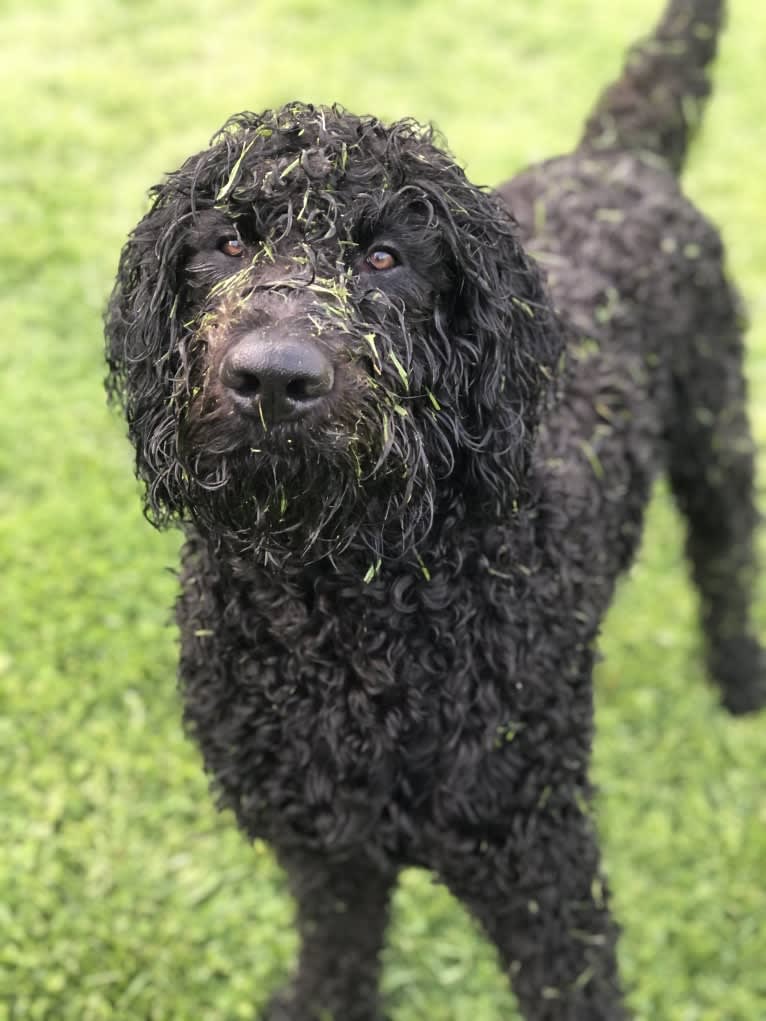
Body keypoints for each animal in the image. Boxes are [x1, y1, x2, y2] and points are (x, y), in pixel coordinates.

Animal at [106, 0, 766, 1016]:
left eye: (385, 256)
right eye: (228, 243)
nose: (274, 379)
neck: (342, 611)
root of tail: (619, 157)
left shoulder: (540, 862)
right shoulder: (325, 846)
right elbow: (337, 955)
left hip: (715, 434)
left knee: (725, 562)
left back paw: (739, 682)